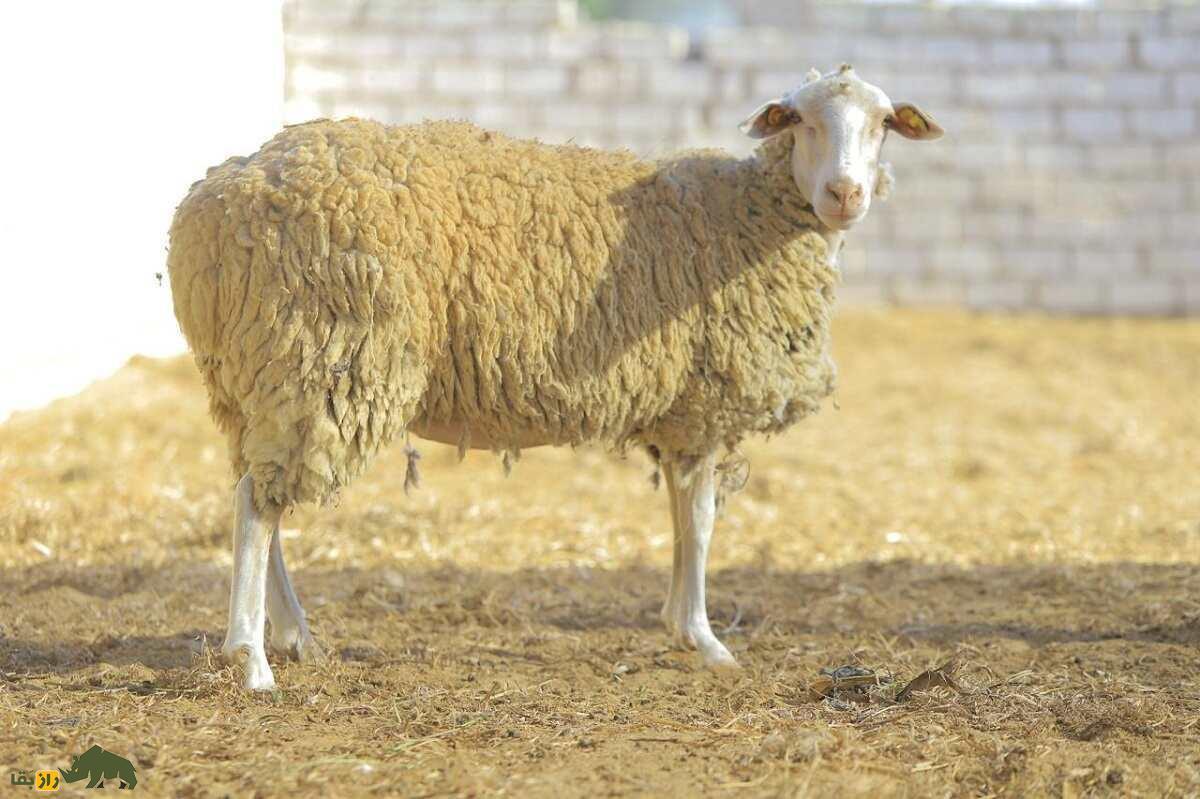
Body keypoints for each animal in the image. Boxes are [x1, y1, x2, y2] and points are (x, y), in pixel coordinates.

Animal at [167, 65, 942, 690]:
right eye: (800, 119)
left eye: (882, 124)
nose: (845, 193)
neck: (752, 215)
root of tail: (208, 211)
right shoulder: (704, 405)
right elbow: (701, 522)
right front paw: (704, 637)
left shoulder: (677, 413)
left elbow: (680, 519)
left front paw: (676, 623)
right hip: (324, 358)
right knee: (258, 508)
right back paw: (251, 660)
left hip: (259, 379)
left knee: (257, 498)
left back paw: (297, 636)